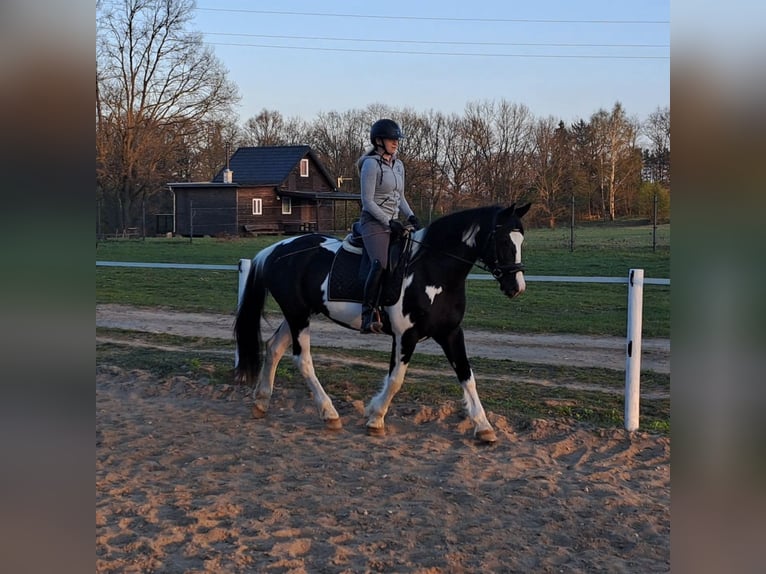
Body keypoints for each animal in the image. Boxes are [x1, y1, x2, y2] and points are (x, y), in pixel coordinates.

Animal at [234, 202, 531, 442]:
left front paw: (484, 427)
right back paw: (329, 414)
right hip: (297, 317)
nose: (516, 287)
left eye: (521, 241)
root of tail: (275, 250)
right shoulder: (405, 335)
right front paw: (375, 418)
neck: (431, 271)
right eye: (504, 240)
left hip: (299, 314)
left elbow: (467, 377)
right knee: (303, 360)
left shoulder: (451, 333)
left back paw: (261, 402)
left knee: (274, 348)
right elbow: (396, 379)